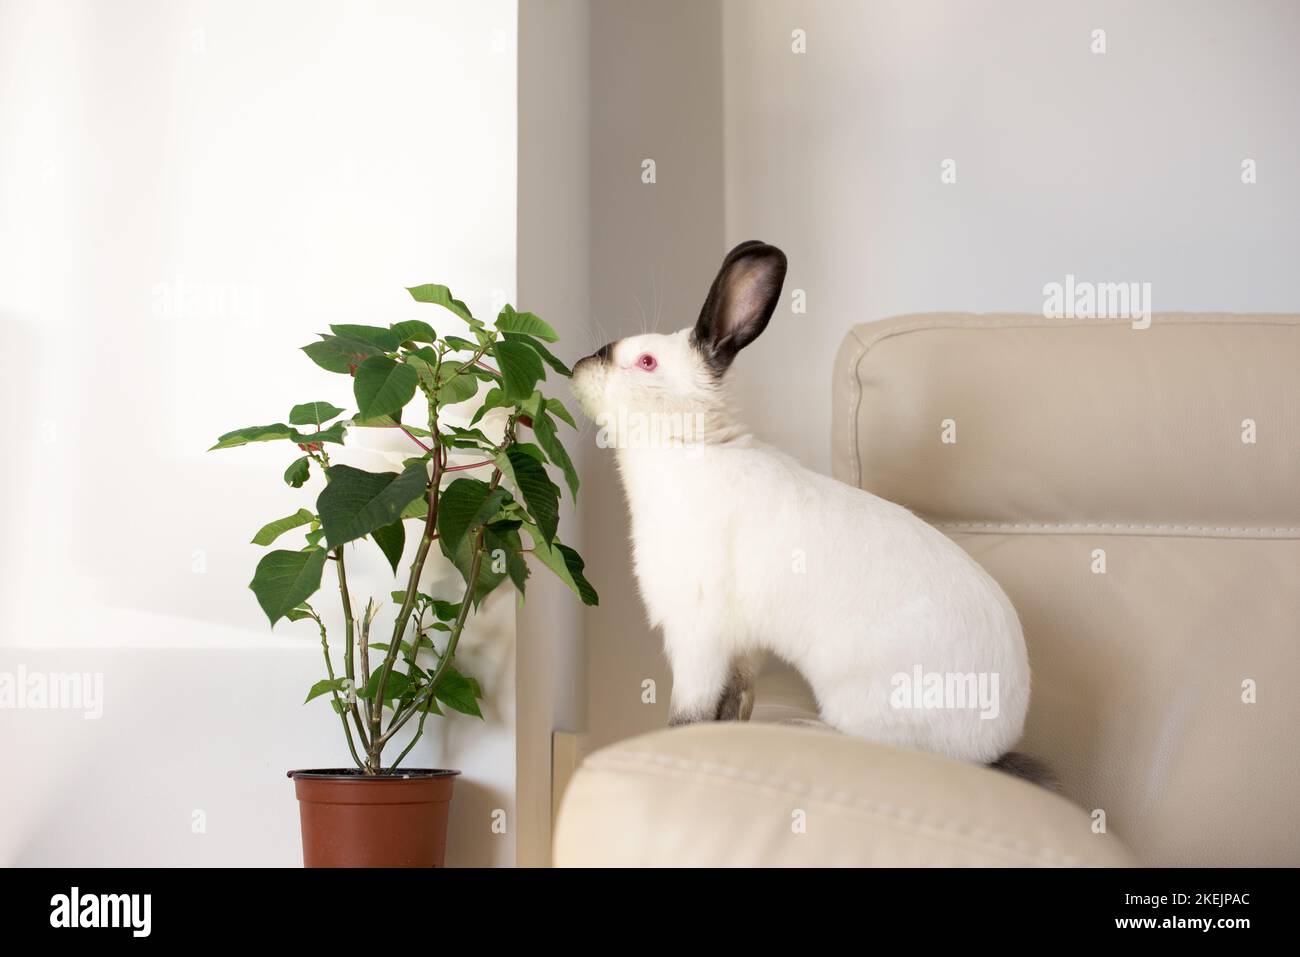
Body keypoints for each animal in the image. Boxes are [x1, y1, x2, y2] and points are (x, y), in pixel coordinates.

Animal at [574, 239, 1040, 780]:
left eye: (646, 361)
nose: (580, 364)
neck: (687, 443)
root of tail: (991, 748)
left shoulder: (698, 634)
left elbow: (689, 713)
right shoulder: (742, 648)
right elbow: (736, 698)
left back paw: (804, 727)